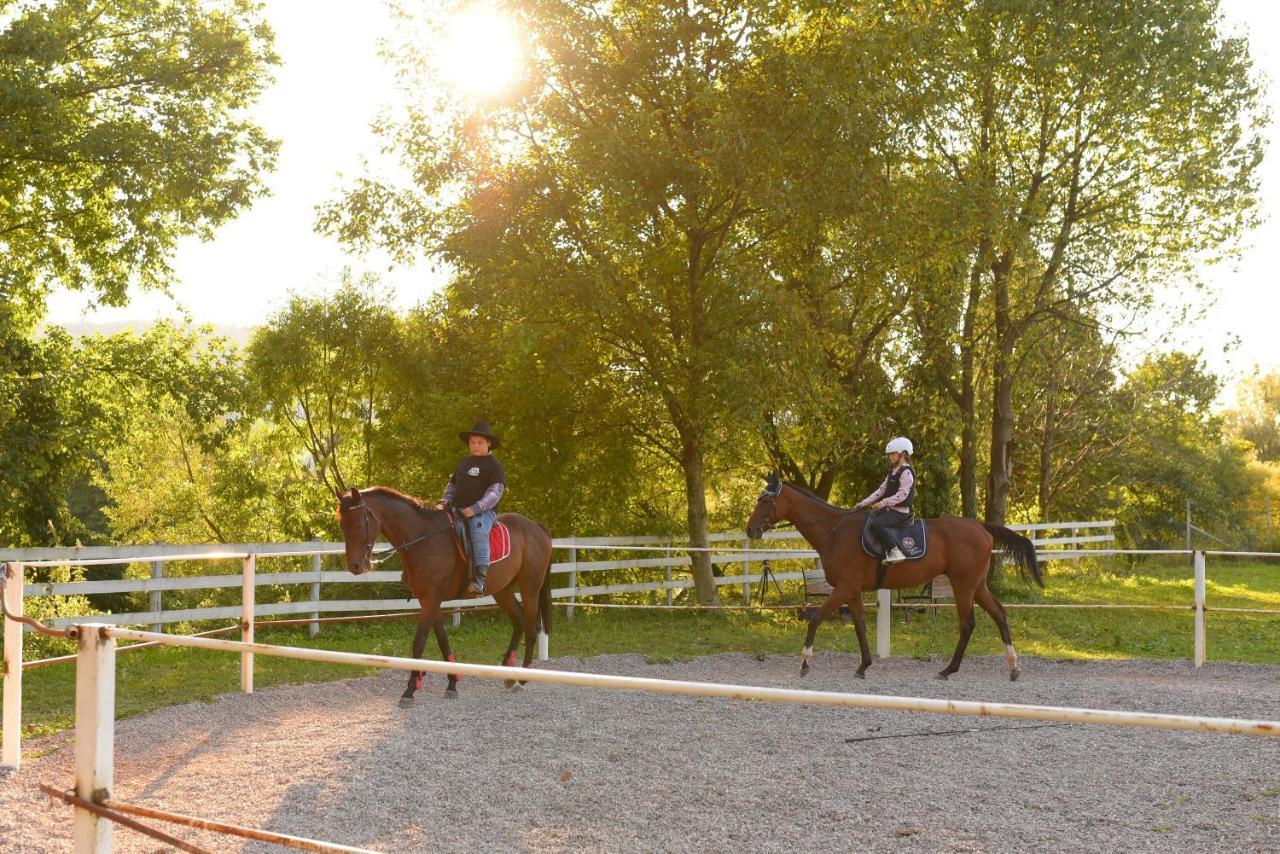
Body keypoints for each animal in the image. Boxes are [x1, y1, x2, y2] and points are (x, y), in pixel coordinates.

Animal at [332, 486, 552, 701]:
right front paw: (452, 684)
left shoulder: (431, 599)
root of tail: (536, 527)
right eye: (342, 525)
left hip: (530, 588)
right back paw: (509, 673)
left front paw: (410, 689)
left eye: (359, 524)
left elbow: (419, 642)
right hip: (503, 590)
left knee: (531, 627)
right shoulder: (429, 600)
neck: (423, 539)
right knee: (519, 621)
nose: (355, 566)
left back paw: (522, 679)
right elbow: (442, 640)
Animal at [747, 473, 1044, 681]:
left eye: (766, 500)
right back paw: (1012, 668)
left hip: (963, 585)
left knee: (967, 624)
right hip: (977, 585)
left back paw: (948, 669)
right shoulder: (852, 591)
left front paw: (805, 663)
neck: (835, 531)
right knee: (1000, 615)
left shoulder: (843, 588)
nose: (750, 530)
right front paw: (863, 666)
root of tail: (980, 526)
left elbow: (816, 618)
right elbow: (859, 626)